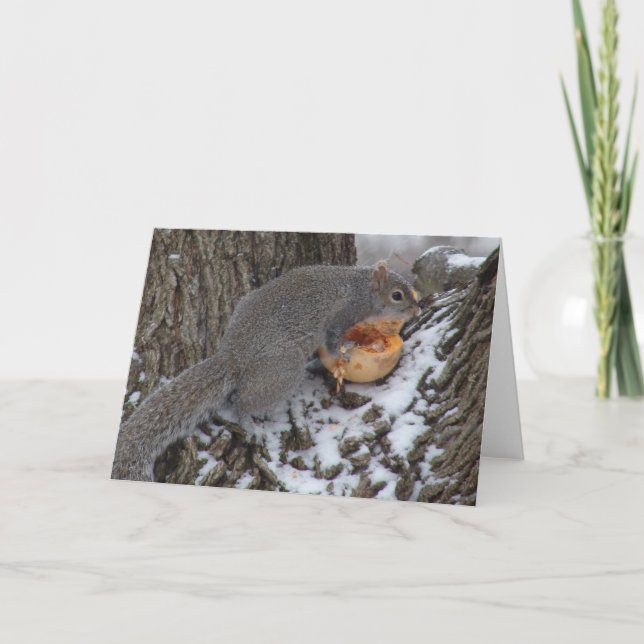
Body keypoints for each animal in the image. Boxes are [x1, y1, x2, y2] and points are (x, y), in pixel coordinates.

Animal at [111, 261, 420, 482]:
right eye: (397, 296)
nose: (416, 311)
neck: (360, 288)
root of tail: (233, 357)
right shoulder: (340, 316)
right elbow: (333, 342)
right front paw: (345, 351)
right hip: (282, 369)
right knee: (241, 400)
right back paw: (250, 425)